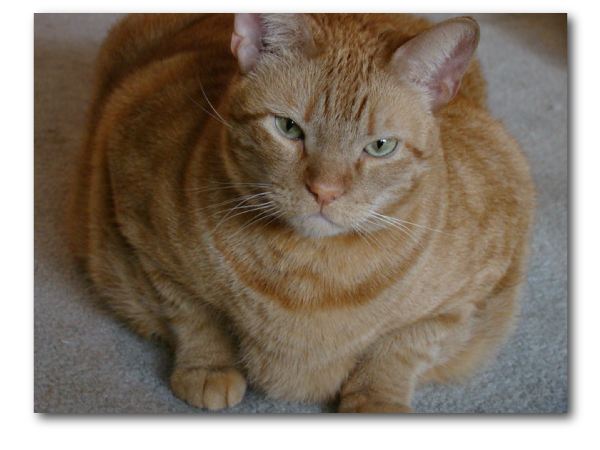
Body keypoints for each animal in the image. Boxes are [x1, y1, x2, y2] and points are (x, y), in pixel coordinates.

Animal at [69, 12, 536, 414]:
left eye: (380, 146)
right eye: (288, 128)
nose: (324, 191)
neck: (308, 279)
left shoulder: (475, 284)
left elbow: (401, 346)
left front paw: (377, 396)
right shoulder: (136, 216)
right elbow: (194, 312)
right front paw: (209, 365)